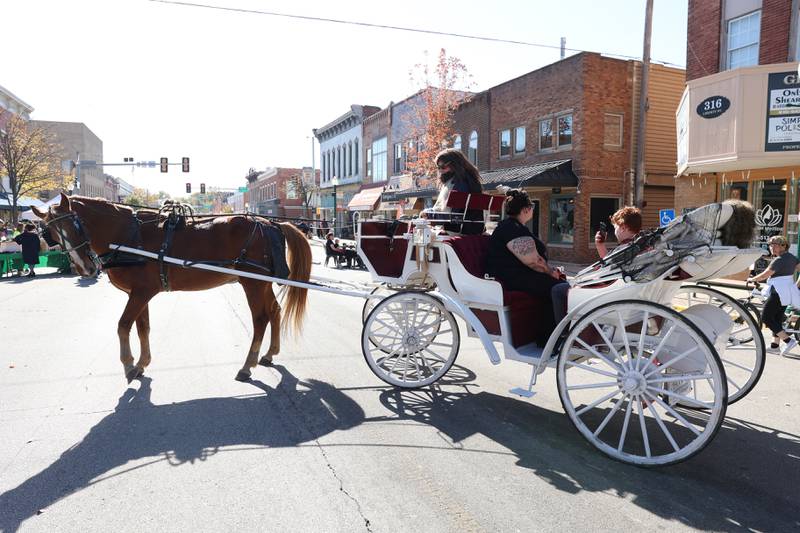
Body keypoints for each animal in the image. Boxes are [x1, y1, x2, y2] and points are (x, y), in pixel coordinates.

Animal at [31, 194, 312, 382]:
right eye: (52, 234)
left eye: (75, 226)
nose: (86, 269)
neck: (129, 235)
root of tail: (270, 223)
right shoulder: (139, 294)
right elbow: (142, 328)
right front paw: (142, 363)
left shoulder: (141, 293)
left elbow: (123, 325)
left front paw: (128, 365)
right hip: (261, 283)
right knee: (274, 311)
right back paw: (269, 354)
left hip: (252, 283)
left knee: (260, 319)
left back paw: (247, 366)